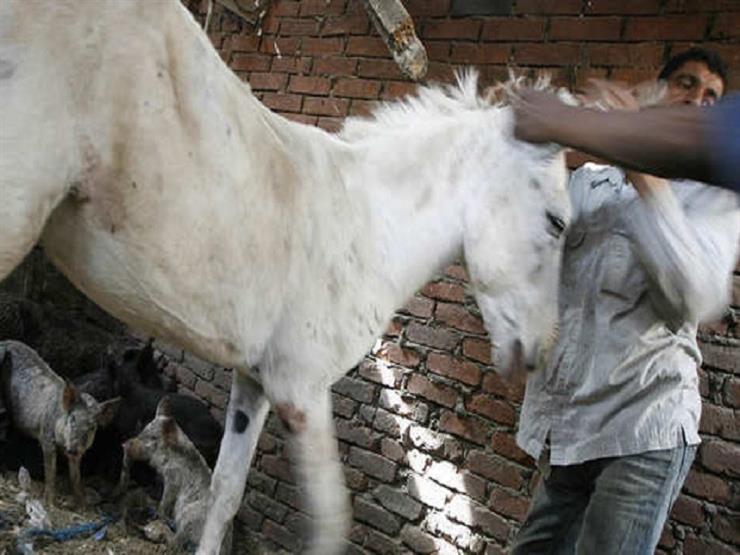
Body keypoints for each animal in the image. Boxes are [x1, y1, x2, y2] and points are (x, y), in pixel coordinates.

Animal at [0, 340, 120, 506]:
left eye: (92, 427)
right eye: (72, 418)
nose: (73, 449)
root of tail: (6, 342)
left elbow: (76, 475)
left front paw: (81, 505)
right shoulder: (46, 435)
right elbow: (51, 471)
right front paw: (49, 503)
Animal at [120, 400, 233, 555]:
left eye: (151, 438)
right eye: (143, 431)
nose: (124, 444)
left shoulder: (173, 479)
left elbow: (166, 499)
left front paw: (158, 513)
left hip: (189, 516)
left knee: (177, 543)